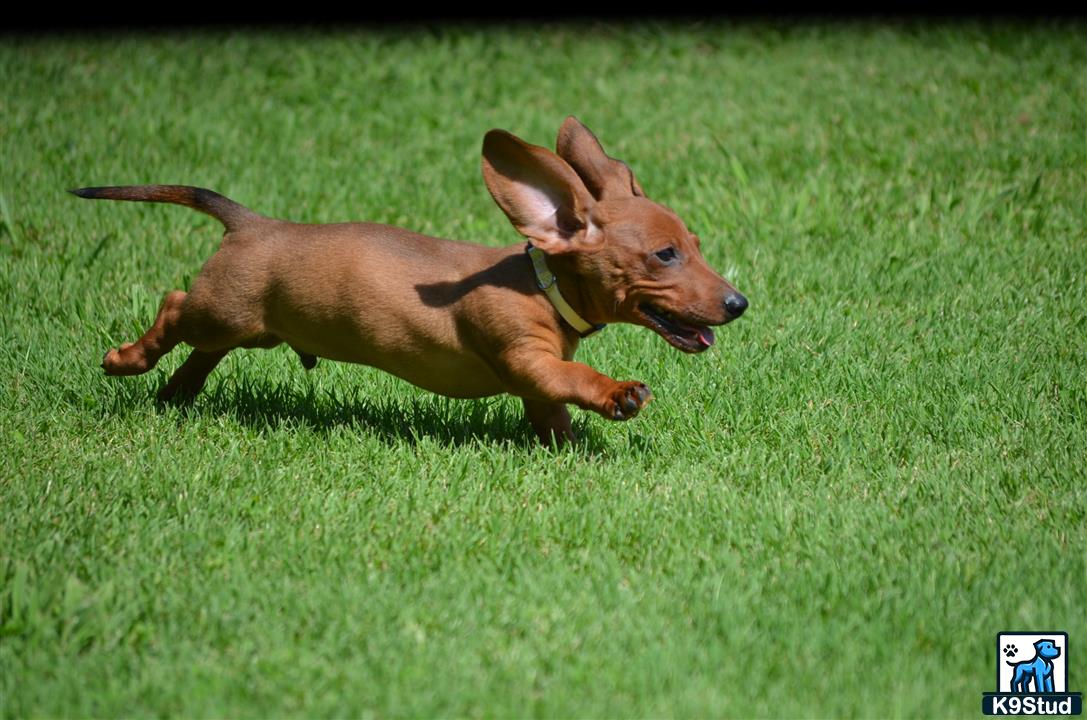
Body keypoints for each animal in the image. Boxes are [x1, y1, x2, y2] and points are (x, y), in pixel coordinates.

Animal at [70, 118, 747, 445]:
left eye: (695, 246)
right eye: (664, 255)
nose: (738, 303)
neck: (542, 284)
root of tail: (254, 222)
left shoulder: (538, 381)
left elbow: (555, 412)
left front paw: (571, 448)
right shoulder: (526, 358)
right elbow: (577, 378)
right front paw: (618, 394)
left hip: (243, 328)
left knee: (201, 354)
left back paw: (174, 397)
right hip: (224, 311)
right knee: (174, 305)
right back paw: (127, 360)